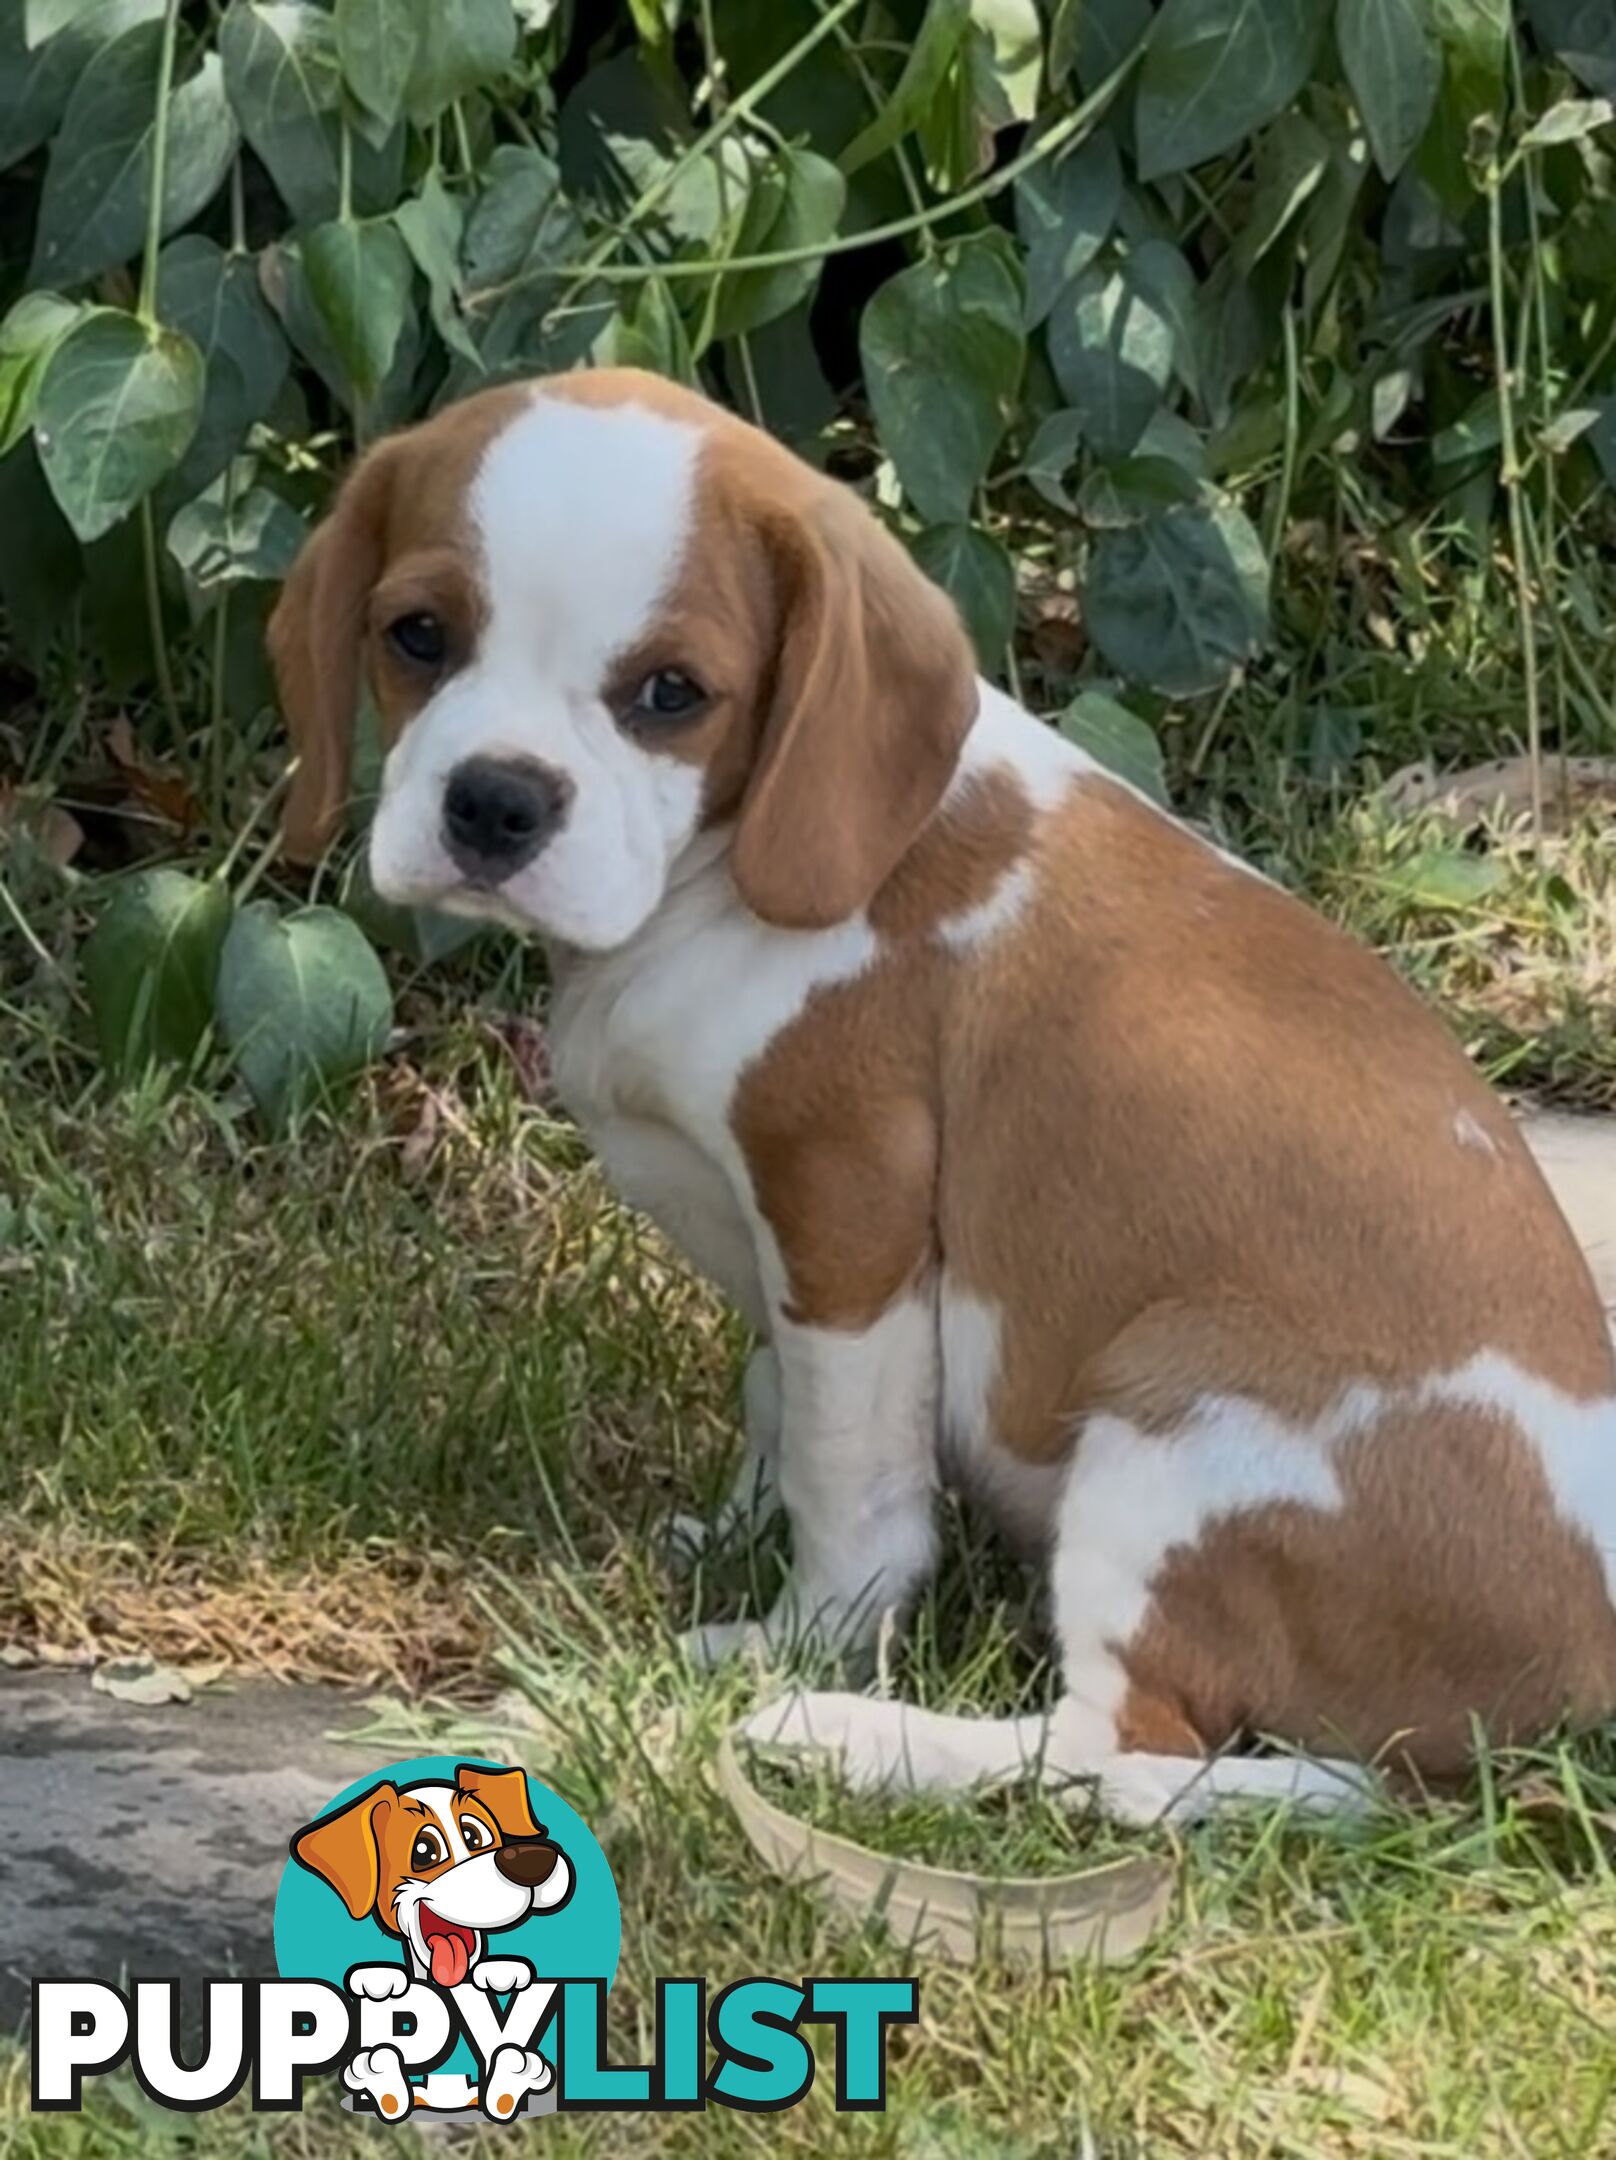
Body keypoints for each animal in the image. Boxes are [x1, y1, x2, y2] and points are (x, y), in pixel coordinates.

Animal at [271, 371, 1616, 1823]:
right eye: (416, 635)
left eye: (671, 694)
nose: (495, 802)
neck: (716, 882)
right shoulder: (786, 1267)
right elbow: (775, 1398)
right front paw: (731, 1536)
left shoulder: (848, 1219)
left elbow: (849, 1481)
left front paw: (800, 1637)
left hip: (1176, 1398)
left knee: (1119, 1753)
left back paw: (852, 1736)